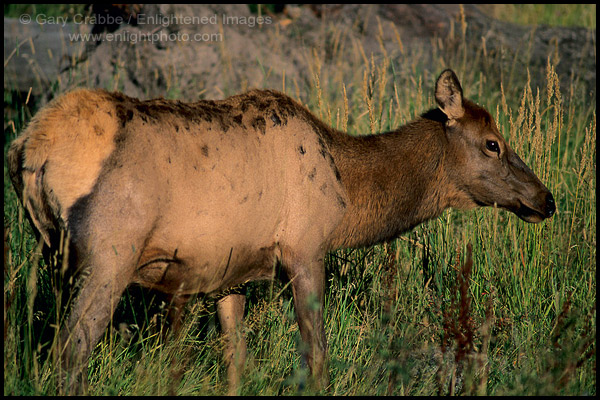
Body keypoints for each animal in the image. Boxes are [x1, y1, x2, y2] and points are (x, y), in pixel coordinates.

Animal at [7, 69, 556, 394]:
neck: (347, 193)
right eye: (492, 143)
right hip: (110, 254)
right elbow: (317, 358)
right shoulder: (306, 248)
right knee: (69, 354)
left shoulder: (226, 275)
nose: (546, 199)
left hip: (51, 253)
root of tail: (31, 147)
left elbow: (236, 363)